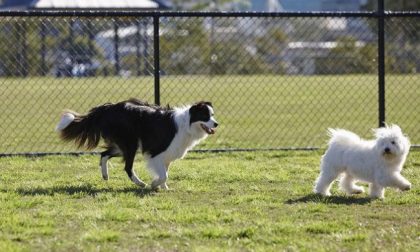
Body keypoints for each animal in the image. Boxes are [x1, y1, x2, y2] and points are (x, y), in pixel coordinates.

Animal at [55, 98, 218, 189]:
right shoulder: (157, 153)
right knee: (127, 167)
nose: (216, 124)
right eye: (205, 115)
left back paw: (105, 175)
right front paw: (154, 184)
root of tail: (107, 108)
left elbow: (165, 173)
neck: (187, 124)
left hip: (122, 145)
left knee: (104, 154)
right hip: (130, 144)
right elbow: (164, 175)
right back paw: (140, 183)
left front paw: (163, 187)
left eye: (212, 115)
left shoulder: (167, 155)